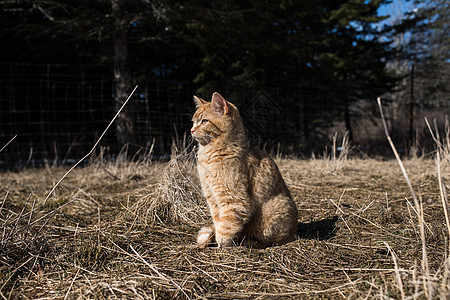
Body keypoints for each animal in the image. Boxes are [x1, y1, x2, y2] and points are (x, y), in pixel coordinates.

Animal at [191, 92, 298, 248]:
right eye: (193, 122)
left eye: (204, 121)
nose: (191, 130)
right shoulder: (213, 200)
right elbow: (218, 222)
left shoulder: (234, 201)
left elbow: (225, 228)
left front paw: (221, 245)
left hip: (278, 208)